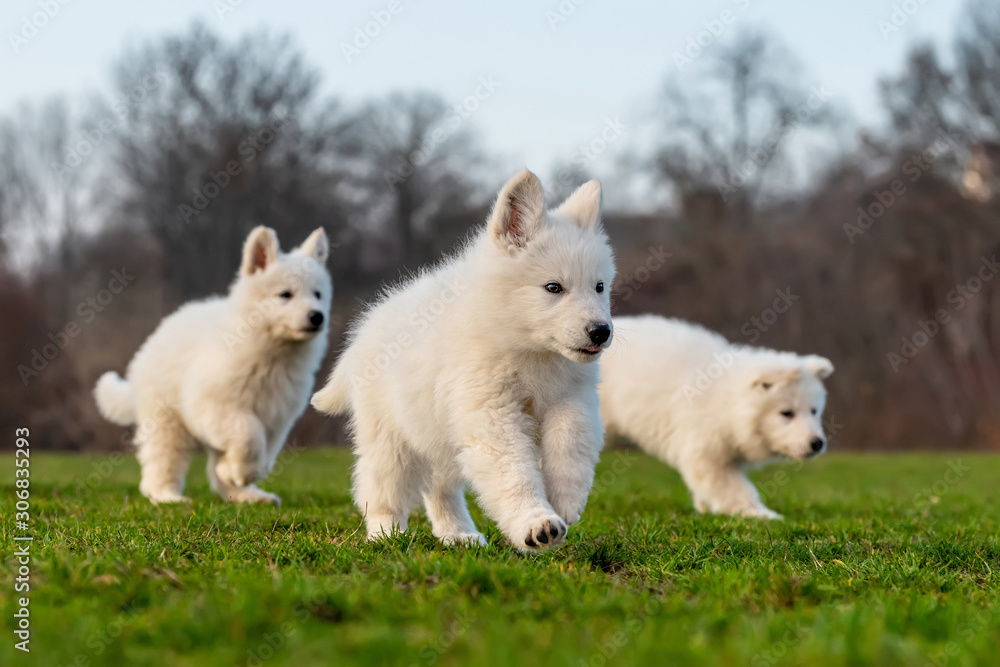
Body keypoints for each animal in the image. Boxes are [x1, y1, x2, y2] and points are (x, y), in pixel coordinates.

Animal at [94, 226, 330, 506]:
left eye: (318, 294)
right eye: (285, 294)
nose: (317, 316)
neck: (273, 355)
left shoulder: (277, 416)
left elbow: (263, 450)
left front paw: (238, 473)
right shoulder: (213, 405)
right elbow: (248, 433)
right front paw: (238, 471)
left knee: (214, 472)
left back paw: (247, 495)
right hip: (167, 422)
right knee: (161, 465)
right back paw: (169, 497)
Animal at [312, 171, 612, 552]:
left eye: (599, 287)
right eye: (553, 287)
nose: (601, 332)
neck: (527, 349)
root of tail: (364, 333)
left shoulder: (571, 399)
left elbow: (570, 443)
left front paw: (565, 500)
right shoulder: (491, 414)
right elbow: (514, 473)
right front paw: (536, 523)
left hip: (439, 436)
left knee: (440, 489)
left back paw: (457, 534)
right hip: (392, 440)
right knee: (381, 490)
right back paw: (385, 534)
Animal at [596, 316, 832, 520]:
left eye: (814, 411)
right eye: (787, 413)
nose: (817, 443)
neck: (729, 402)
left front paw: (705, 509)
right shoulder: (707, 454)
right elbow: (735, 489)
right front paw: (759, 514)